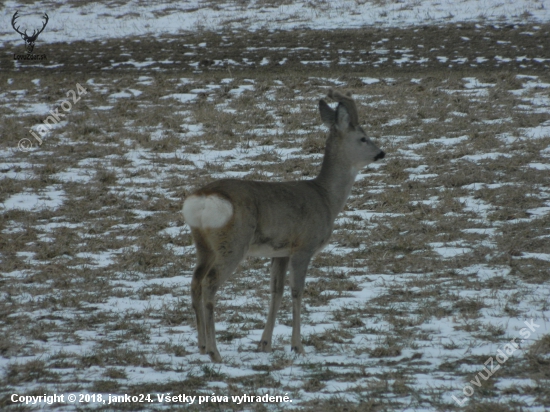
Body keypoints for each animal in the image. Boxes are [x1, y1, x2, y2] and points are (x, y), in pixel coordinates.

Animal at [183, 89, 386, 360]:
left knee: (195, 281)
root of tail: (203, 198)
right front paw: (298, 346)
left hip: (203, 244)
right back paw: (215, 351)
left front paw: (265, 344)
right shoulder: (304, 245)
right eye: (363, 138)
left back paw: (202, 345)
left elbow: (275, 291)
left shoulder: (280, 251)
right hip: (233, 242)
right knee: (209, 284)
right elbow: (297, 291)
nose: (381, 153)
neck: (326, 198)